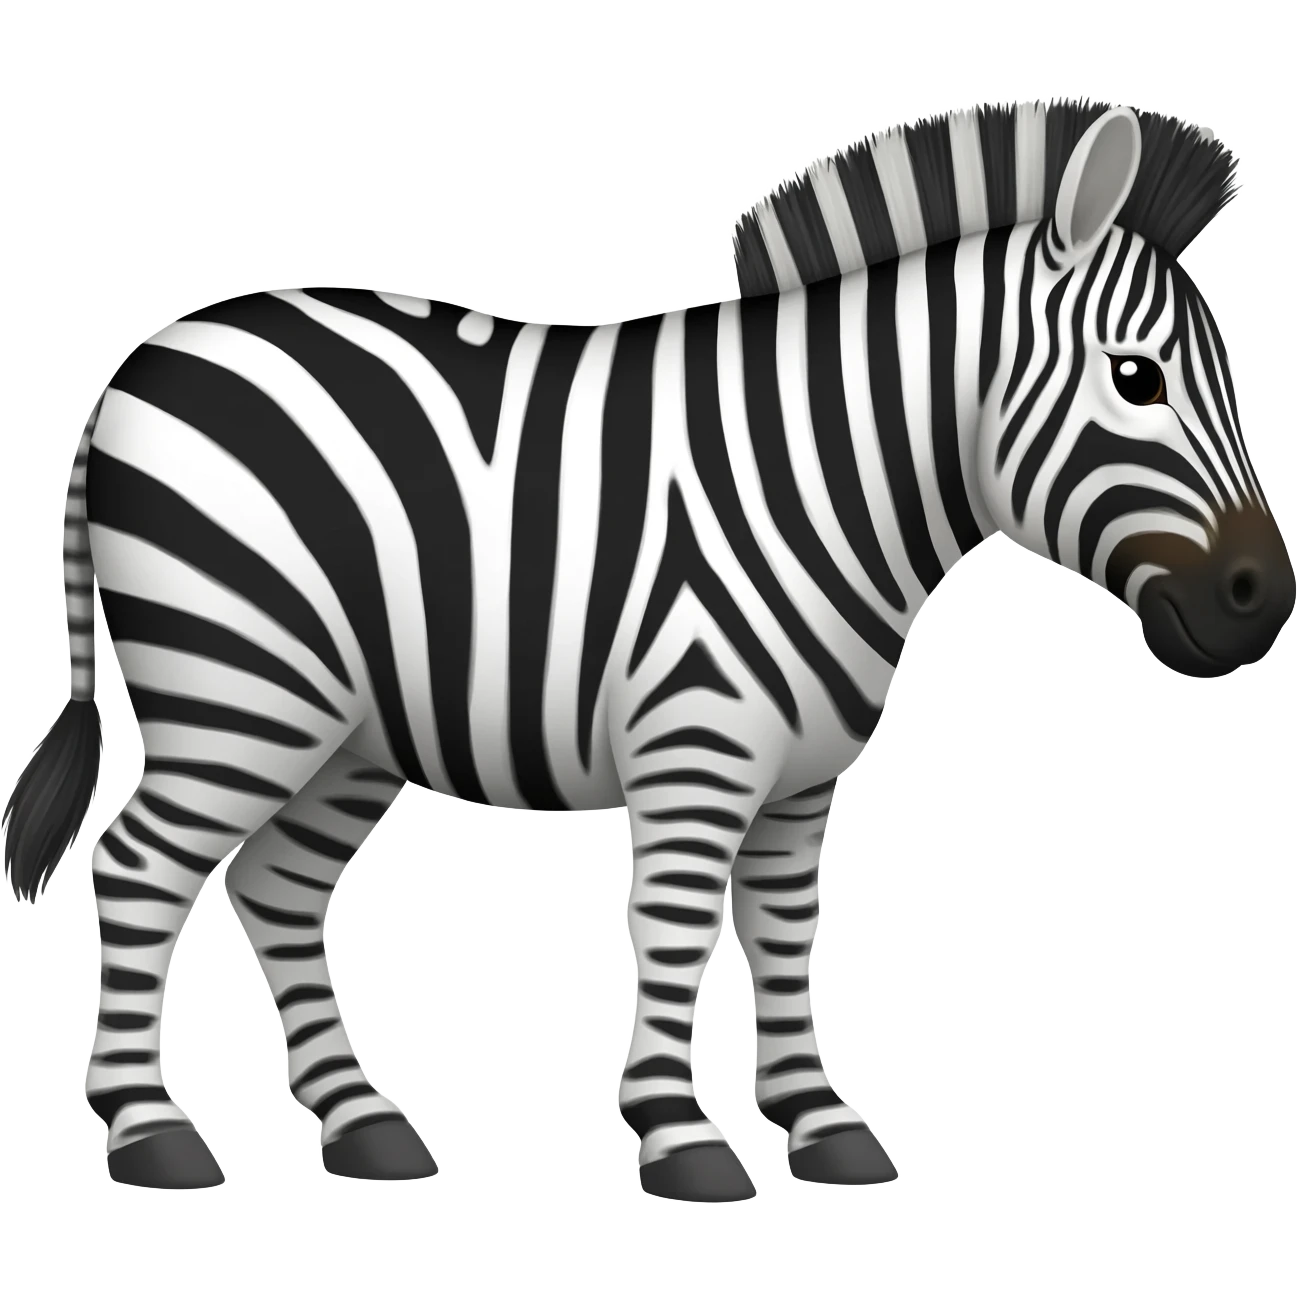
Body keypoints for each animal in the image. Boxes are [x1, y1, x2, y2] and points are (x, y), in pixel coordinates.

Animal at [1, 97, 1289, 1200]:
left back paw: (361, 1123)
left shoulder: (798, 783)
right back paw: (149, 1130)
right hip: (241, 691)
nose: (1260, 602)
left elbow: (784, 934)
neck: (822, 483)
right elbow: (674, 928)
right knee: (138, 868)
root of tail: (135, 365)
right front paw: (682, 1137)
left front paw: (819, 1122)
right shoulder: (695, 748)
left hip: (346, 730)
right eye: (1137, 377)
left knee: (276, 884)